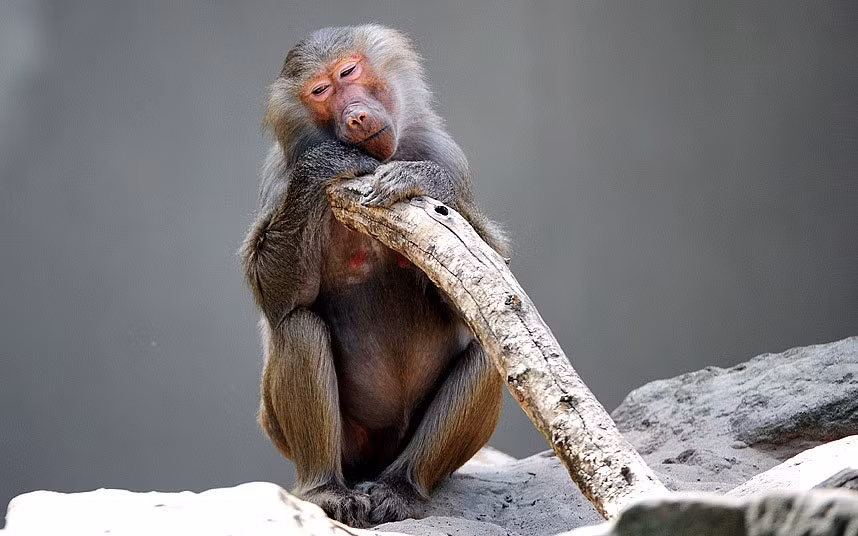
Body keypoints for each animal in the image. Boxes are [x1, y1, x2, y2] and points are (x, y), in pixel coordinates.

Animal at [241, 25, 510, 527]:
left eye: (349, 71)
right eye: (320, 91)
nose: (357, 116)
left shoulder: (447, 155)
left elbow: (483, 288)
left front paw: (420, 180)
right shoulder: (281, 176)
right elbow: (279, 298)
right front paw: (328, 164)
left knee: (491, 350)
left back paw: (402, 488)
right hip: (325, 443)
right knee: (298, 328)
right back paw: (326, 490)